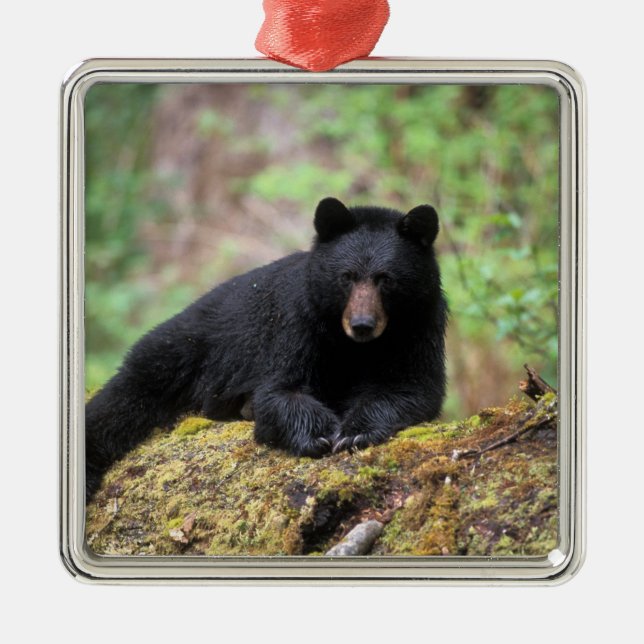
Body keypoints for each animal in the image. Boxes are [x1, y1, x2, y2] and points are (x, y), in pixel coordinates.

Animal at [85, 197, 447, 498]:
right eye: (347, 276)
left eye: (386, 279)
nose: (362, 324)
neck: (354, 347)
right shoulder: (297, 322)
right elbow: (279, 389)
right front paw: (317, 434)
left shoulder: (420, 326)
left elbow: (411, 387)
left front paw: (356, 432)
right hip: (180, 350)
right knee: (121, 400)